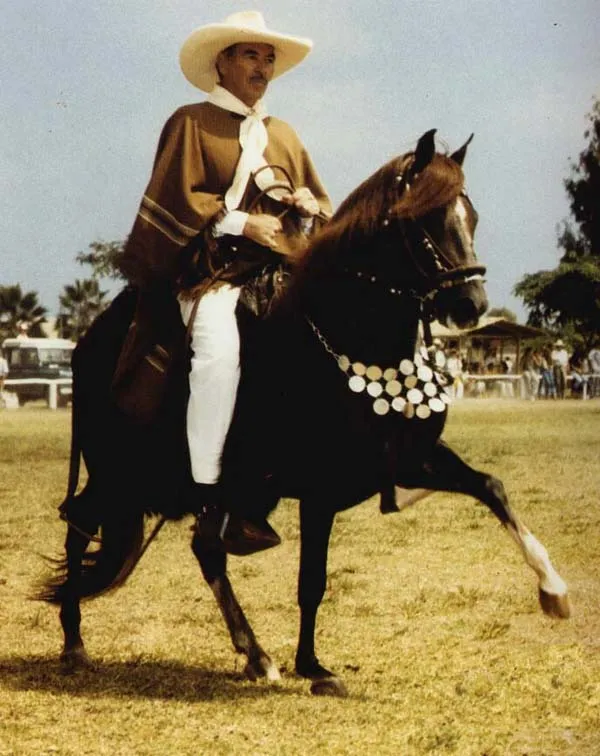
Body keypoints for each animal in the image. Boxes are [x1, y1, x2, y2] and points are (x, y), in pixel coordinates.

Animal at [37, 131, 572, 696]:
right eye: (423, 219)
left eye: (471, 216)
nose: (471, 304)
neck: (346, 336)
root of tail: (89, 341)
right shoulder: (321, 491)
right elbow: (311, 581)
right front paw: (314, 667)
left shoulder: (410, 462)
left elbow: (492, 487)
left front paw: (554, 589)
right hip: (122, 474)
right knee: (85, 522)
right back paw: (75, 641)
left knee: (200, 548)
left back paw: (254, 654)